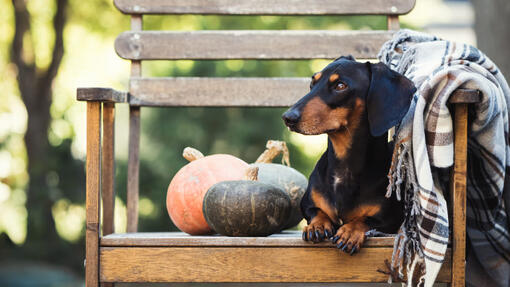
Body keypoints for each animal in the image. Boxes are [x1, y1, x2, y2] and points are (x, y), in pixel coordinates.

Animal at [280, 56, 416, 254]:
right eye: (313, 83)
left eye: (340, 85)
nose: (288, 118)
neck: (344, 165)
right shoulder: (306, 204)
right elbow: (317, 210)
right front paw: (317, 225)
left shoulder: (391, 218)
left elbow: (366, 220)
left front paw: (350, 231)